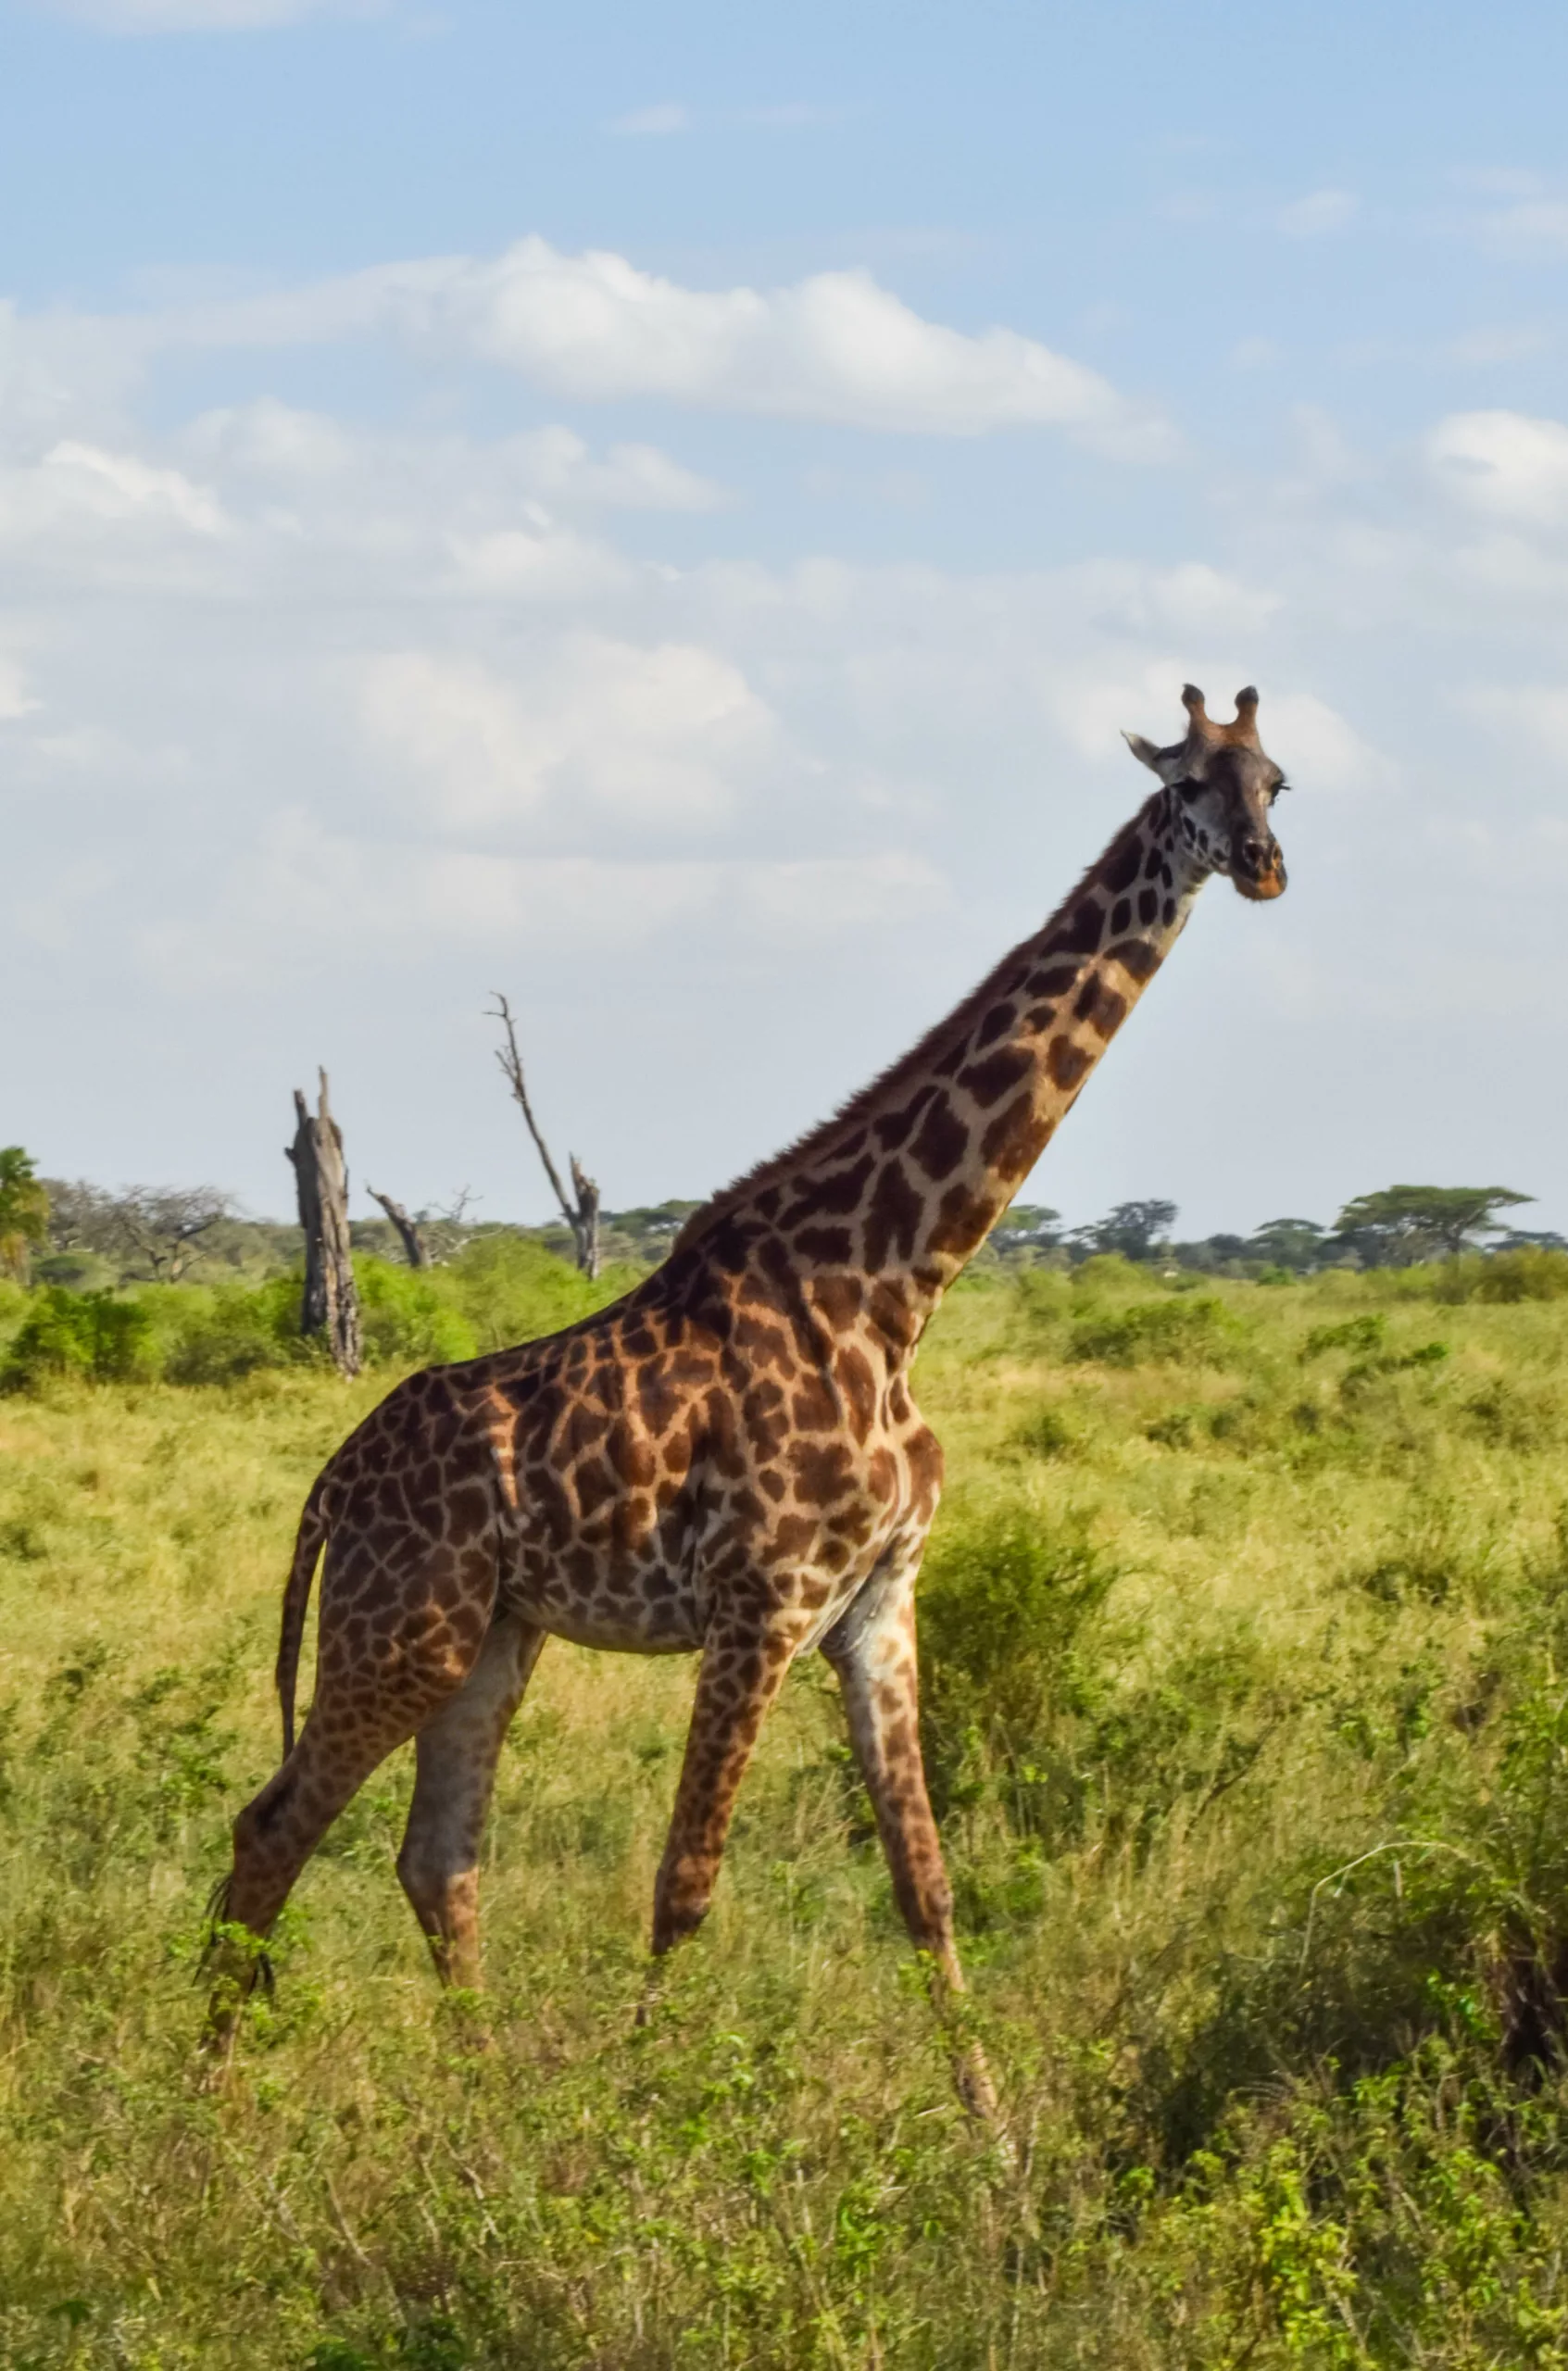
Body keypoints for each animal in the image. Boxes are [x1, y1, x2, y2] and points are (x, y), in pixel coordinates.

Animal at [207, 687, 1281, 2114]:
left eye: (1276, 777)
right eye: (1185, 785)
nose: (1264, 865)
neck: (893, 1284)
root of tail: (329, 1484)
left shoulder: (876, 1603)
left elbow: (925, 1886)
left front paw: (995, 2142)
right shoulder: (761, 1600)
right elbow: (685, 1885)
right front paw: (641, 2117)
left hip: (493, 1636)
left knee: (437, 1858)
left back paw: (482, 2103)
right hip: (403, 1626)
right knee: (273, 1824)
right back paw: (200, 2101)